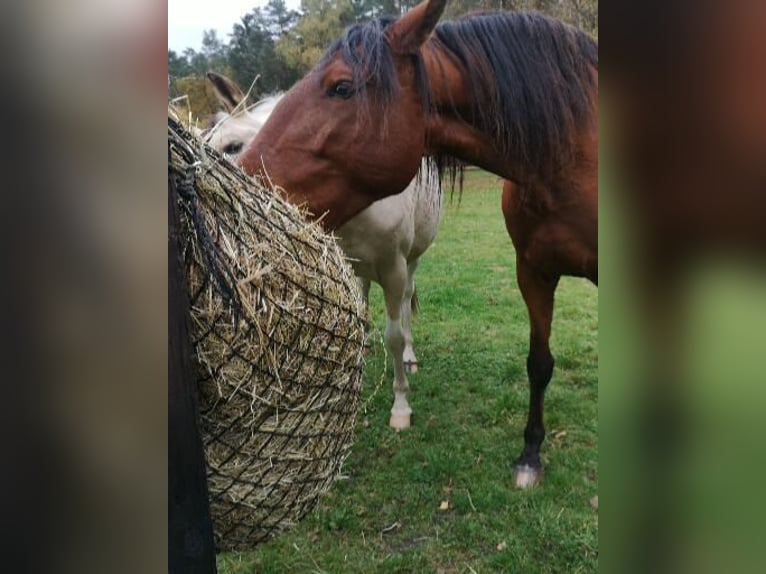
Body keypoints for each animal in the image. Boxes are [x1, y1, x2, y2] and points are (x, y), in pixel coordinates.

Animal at [243, 0, 604, 488]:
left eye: (341, 87)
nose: (244, 172)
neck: (573, 160)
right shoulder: (533, 272)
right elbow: (539, 363)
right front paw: (530, 454)